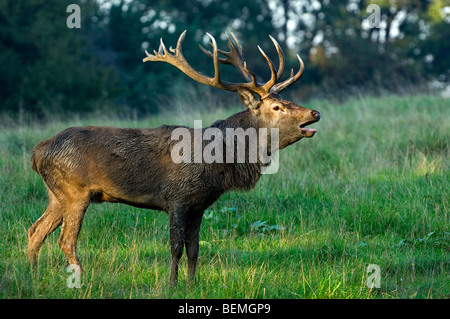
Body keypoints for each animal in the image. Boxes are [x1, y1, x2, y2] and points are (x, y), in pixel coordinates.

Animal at [27, 30, 320, 288]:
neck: (218, 162)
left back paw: (32, 275)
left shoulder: (199, 205)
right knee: (65, 240)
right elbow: (176, 247)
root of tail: (38, 151)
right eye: (276, 107)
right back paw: (79, 280)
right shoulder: (177, 198)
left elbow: (194, 248)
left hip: (56, 195)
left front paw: (192, 284)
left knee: (35, 231)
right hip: (74, 191)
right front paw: (172, 284)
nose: (315, 113)